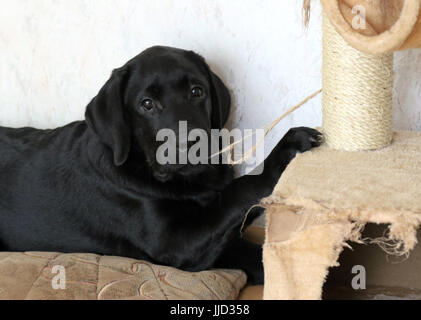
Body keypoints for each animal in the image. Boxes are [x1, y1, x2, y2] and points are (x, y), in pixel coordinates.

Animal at [0, 46, 318, 284]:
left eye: (196, 91)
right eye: (147, 104)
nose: (191, 143)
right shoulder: (174, 243)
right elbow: (237, 191)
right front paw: (284, 151)